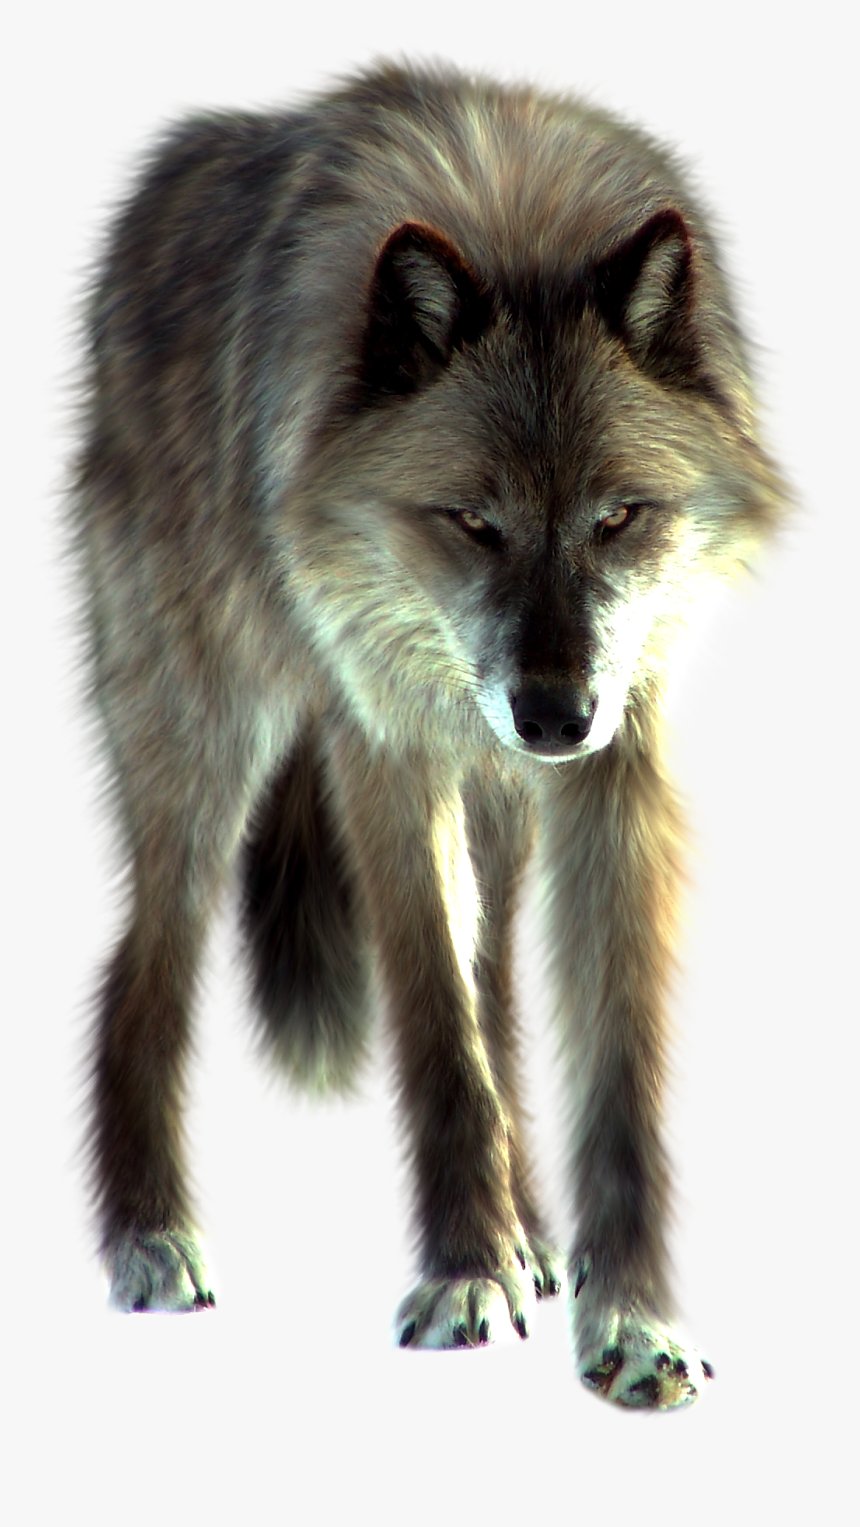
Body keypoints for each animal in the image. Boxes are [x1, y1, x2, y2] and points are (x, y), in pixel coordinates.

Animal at [73, 61, 785, 1408]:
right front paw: (463, 1275)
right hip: (206, 748)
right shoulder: (385, 758)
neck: (514, 218)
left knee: (499, 988)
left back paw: (533, 1236)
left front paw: (630, 1321)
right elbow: (435, 1033)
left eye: (617, 517)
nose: (551, 716)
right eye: (472, 521)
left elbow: (606, 1066)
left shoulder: (619, 772)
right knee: (140, 974)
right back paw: (150, 1239)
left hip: (499, 811)